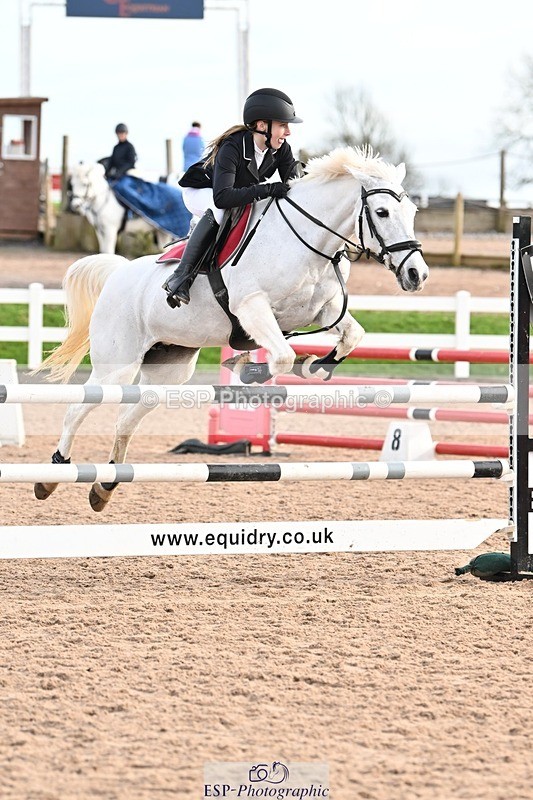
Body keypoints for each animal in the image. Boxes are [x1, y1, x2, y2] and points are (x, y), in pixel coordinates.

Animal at [33, 145, 429, 512]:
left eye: (412, 212)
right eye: (382, 212)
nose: (417, 275)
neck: (307, 241)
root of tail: (118, 273)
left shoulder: (323, 309)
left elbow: (350, 336)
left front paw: (316, 365)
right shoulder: (251, 308)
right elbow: (282, 356)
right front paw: (248, 369)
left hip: (167, 370)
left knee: (126, 420)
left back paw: (105, 487)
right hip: (117, 365)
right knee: (78, 409)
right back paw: (52, 474)